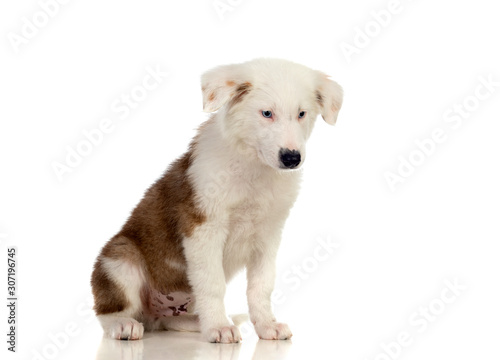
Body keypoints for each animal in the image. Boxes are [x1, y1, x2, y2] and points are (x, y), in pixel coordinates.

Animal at [90, 57, 342, 342]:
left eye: (301, 114)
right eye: (267, 113)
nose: (291, 158)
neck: (253, 167)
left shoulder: (268, 235)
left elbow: (261, 286)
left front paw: (267, 326)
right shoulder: (204, 228)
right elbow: (213, 284)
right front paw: (219, 328)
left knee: (167, 319)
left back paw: (196, 322)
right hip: (120, 259)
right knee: (109, 311)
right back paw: (123, 325)